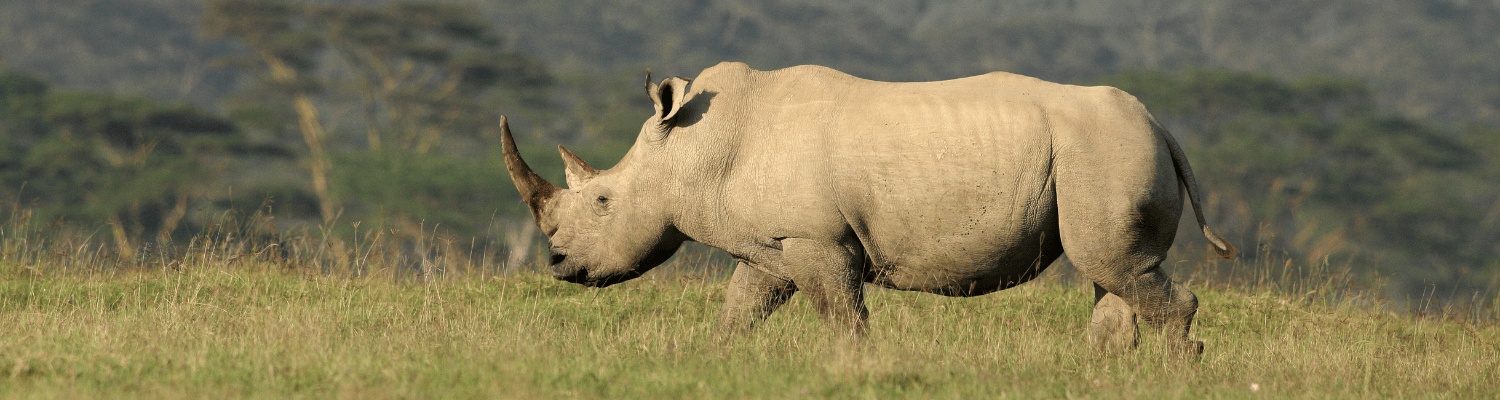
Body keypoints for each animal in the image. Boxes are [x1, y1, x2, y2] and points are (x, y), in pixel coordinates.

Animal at [501, 62, 1236, 355]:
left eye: (603, 201)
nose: (560, 265)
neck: (694, 149)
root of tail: (1160, 124)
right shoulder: (775, 244)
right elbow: (740, 310)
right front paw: (715, 358)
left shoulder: (818, 240)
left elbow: (843, 317)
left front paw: (852, 368)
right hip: (1101, 150)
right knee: (1112, 271)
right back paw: (1107, 368)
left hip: (1106, 149)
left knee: (1114, 266)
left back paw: (1178, 364)